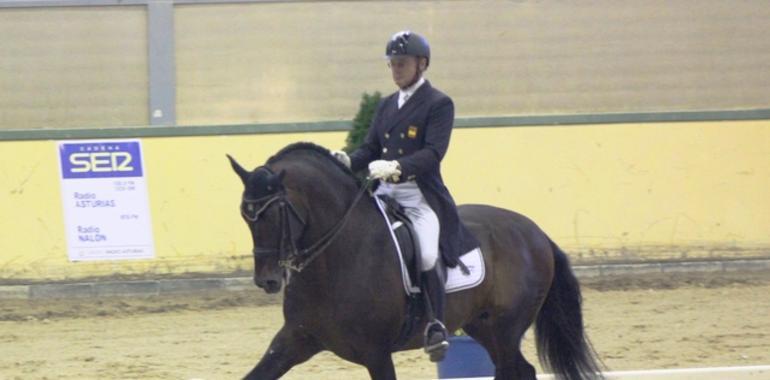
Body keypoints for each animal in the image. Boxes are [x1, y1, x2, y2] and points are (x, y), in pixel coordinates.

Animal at [226, 142, 600, 380]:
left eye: (274, 213)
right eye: (245, 216)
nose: (267, 281)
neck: (333, 262)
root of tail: (536, 233)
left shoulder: (376, 353)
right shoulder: (295, 340)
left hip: (505, 327)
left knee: (512, 370)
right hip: (483, 326)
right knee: (520, 371)